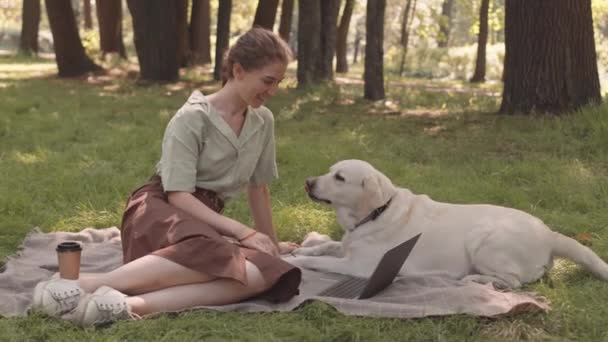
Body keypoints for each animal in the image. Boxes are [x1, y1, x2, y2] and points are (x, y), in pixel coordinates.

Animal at [284, 159, 608, 288]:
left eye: (340, 178)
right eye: (329, 172)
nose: (307, 182)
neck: (377, 211)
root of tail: (550, 233)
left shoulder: (360, 266)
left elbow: (322, 262)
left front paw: (296, 261)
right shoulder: (347, 245)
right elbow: (326, 245)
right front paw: (301, 250)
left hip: (483, 239)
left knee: (513, 282)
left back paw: (474, 280)